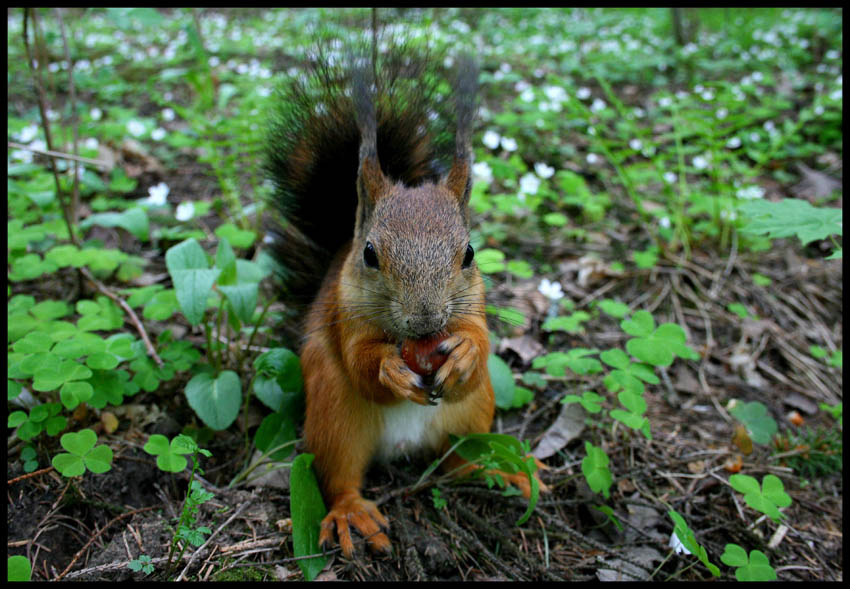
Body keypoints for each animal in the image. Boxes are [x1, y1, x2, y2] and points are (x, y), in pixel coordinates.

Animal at [265, 40, 546, 557]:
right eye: (370, 255)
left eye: (469, 253)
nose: (427, 320)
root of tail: (402, 448)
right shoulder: (345, 312)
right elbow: (360, 362)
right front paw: (388, 369)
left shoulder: (475, 308)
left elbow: (480, 341)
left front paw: (464, 352)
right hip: (334, 414)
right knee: (339, 475)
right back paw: (351, 514)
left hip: (473, 414)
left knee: (459, 461)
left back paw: (501, 469)